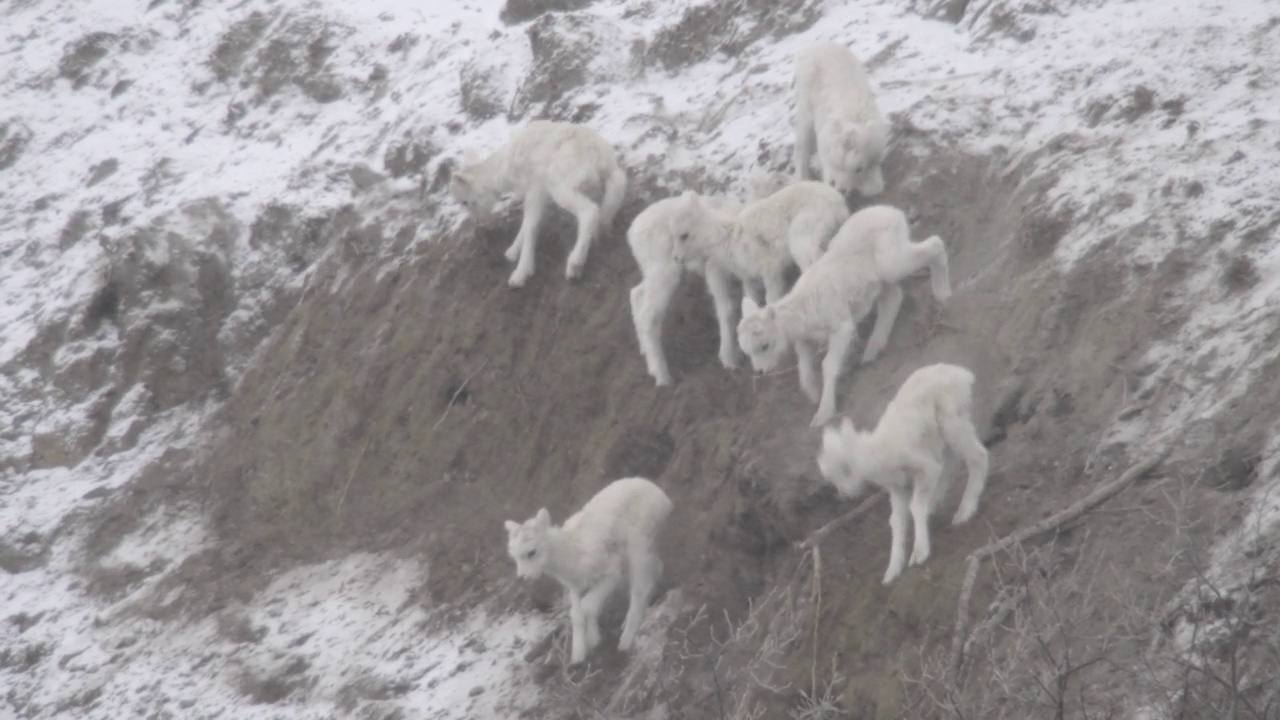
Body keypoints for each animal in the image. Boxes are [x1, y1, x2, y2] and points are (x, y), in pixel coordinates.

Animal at [453, 120, 627, 285]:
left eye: (465, 202)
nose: (479, 222)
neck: (503, 170)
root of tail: (594, 151)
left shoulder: (535, 192)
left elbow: (531, 225)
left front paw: (520, 275)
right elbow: (527, 224)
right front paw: (512, 252)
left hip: (560, 187)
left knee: (589, 212)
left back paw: (574, 265)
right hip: (607, 176)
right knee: (615, 190)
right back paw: (602, 230)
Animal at [504, 474, 675, 666]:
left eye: (531, 552)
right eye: (513, 555)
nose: (522, 577)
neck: (574, 554)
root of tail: (662, 496)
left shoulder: (611, 573)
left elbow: (587, 607)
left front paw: (592, 643)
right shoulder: (575, 585)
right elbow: (577, 615)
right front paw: (580, 653)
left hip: (638, 544)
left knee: (640, 588)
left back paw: (625, 641)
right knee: (656, 569)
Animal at [732, 202, 952, 425]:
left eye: (764, 345)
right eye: (747, 351)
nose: (761, 371)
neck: (802, 310)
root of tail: (892, 212)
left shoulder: (841, 327)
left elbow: (828, 365)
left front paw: (824, 413)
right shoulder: (804, 341)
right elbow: (804, 370)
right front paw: (813, 393)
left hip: (891, 260)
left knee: (935, 243)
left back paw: (943, 292)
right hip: (878, 278)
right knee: (893, 298)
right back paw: (872, 350)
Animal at [788, 41, 890, 198]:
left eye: (858, 169)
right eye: (835, 163)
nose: (840, 189)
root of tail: (817, 44)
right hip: (806, 100)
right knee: (803, 141)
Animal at [819, 363, 988, 584]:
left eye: (846, 467)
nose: (845, 494)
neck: (877, 452)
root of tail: (962, 374)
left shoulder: (923, 469)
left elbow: (915, 506)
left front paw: (919, 554)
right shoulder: (898, 488)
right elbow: (896, 522)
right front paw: (892, 571)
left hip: (952, 421)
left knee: (977, 456)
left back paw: (964, 512)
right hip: (941, 433)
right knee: (950, 462)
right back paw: (936, 503)